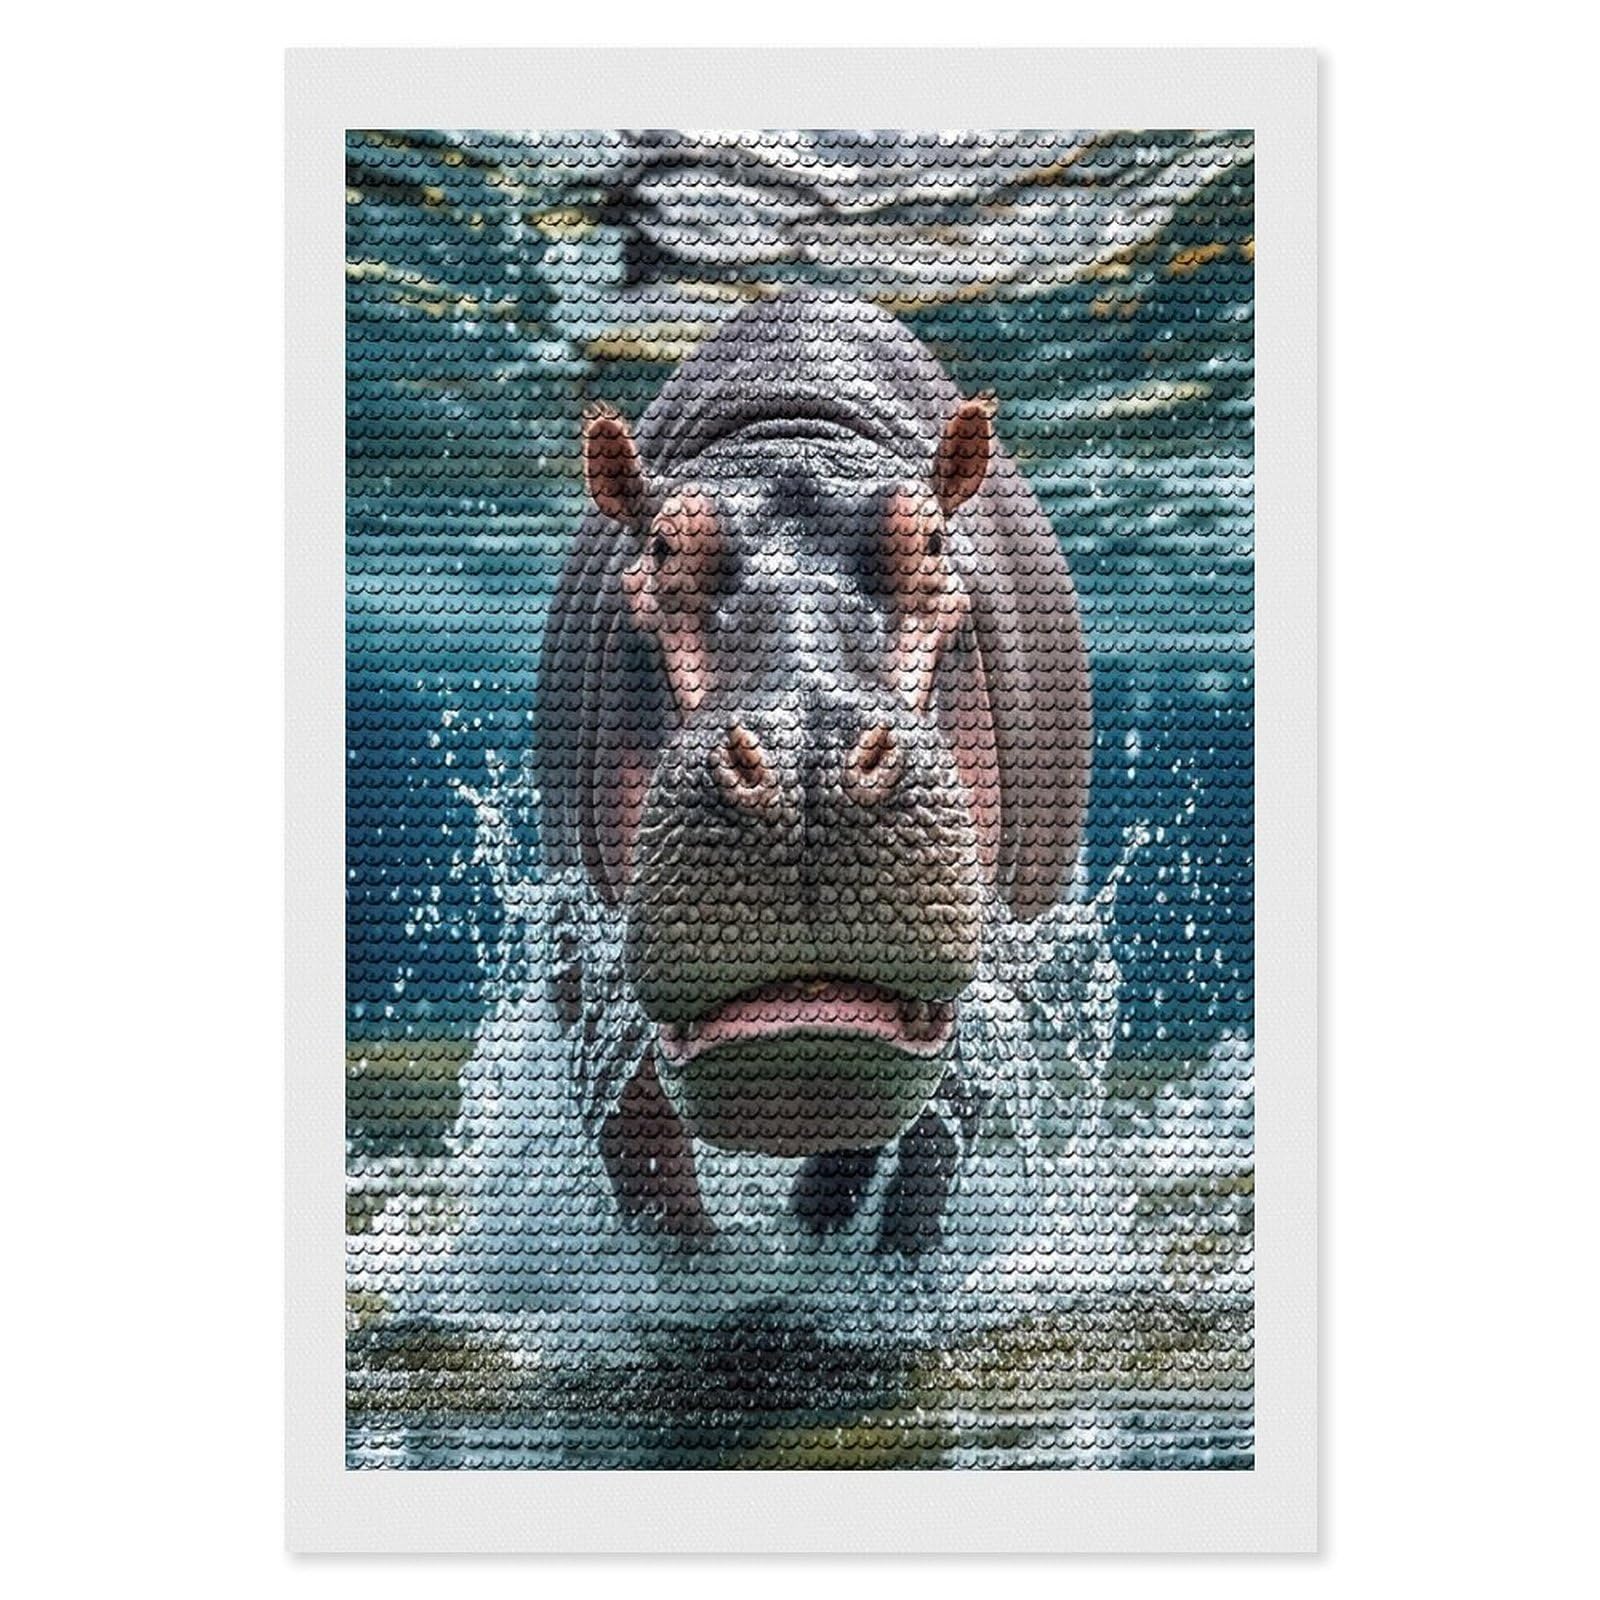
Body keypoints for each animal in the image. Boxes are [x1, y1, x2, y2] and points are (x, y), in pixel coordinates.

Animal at [537, 287, 1090, 1256]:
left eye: (933, 544)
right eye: (661, 550)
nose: (809, 760)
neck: (792, 436)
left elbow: (929, 1145)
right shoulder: (581, 953)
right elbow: (643, 1148)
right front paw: (690, 1276)